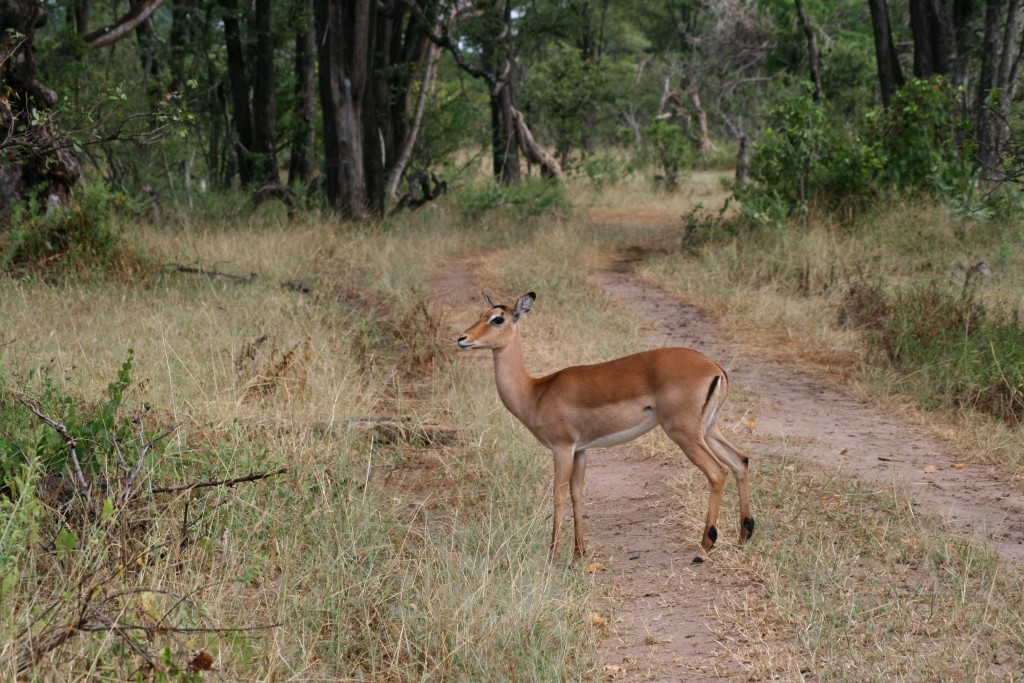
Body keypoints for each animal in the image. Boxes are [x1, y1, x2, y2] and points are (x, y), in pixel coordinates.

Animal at [456, 291, 754, 563]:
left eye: (498, 318)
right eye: (482, 314)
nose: (462, 338)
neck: (535, 392)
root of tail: (714, 368)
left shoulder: (561, 448)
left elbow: (558, 495)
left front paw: (553, 556)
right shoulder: (580, 450)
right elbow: (577, 495)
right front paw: (579, 554)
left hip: (684, 434)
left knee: (717, 471)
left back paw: (704, 548)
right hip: (708, 430)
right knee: (740, 461)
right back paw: (743, 537)